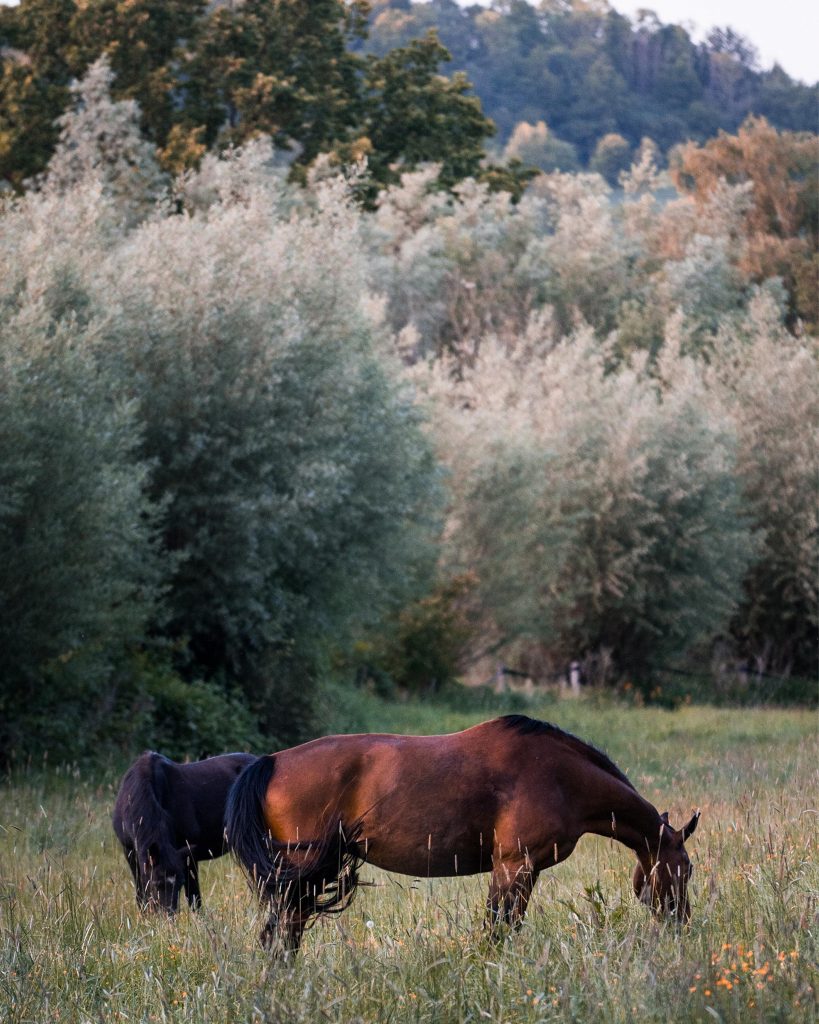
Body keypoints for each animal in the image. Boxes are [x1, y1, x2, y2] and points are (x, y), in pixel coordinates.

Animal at [113, 750, 256, 912]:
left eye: (179, 883)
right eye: (157, 883)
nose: (167, 914)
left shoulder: (188, 855)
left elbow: (194, 898)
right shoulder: (130, 852)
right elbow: (141, 894)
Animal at [225, 715, 700, 951]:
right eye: (687, 868)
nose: (683, 924)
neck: (561, 776)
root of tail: (271, 761)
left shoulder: (524, 871)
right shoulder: (513, 866)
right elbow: (497, 930)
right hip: (299, 876)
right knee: (281, 938)